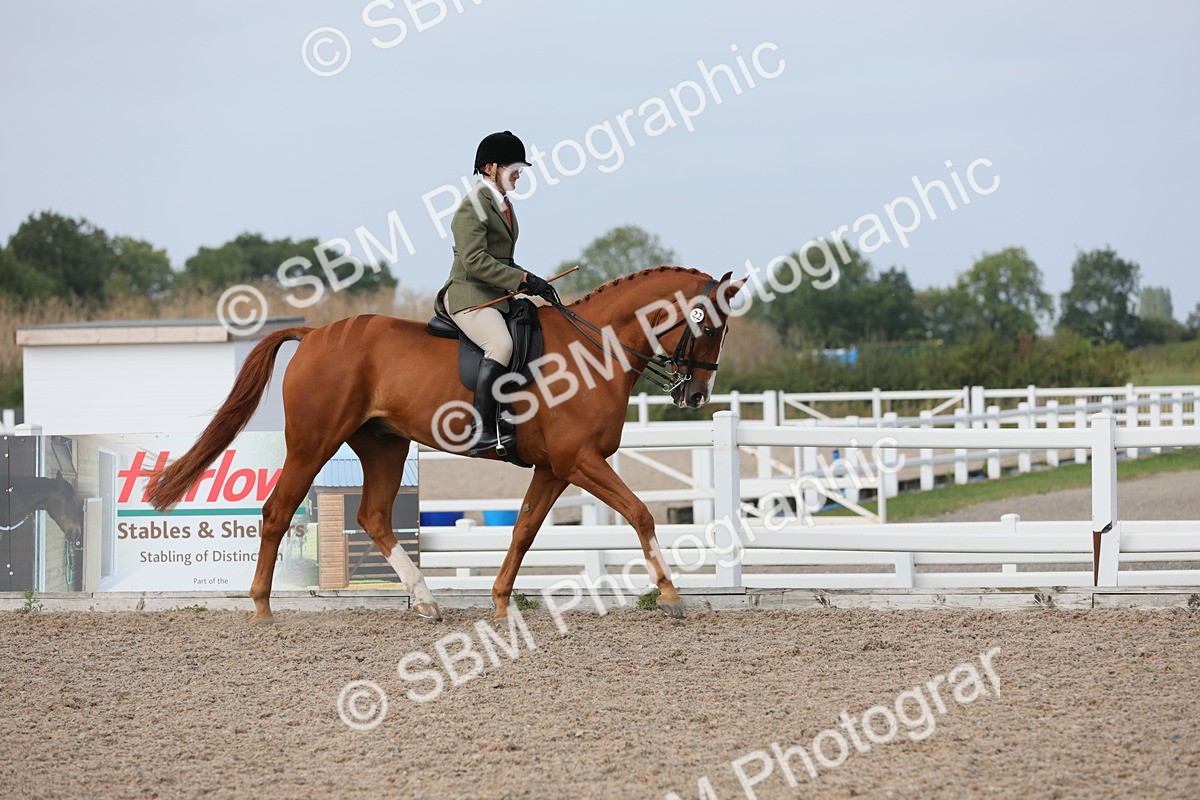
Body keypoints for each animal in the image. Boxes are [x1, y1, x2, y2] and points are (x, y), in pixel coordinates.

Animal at [149, 266, 745, 623]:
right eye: (708, 326)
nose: (695, 394)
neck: (593, 349)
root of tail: (314, 333)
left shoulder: (555, 468)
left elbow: (524, 530)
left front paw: (501, 602)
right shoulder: (580, 461)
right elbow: (640, 512)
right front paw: (670, 595)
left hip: (384, 447)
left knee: (373, 516)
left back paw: (426, 600)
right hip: (313, 444)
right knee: (277, 512)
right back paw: (263, 608)